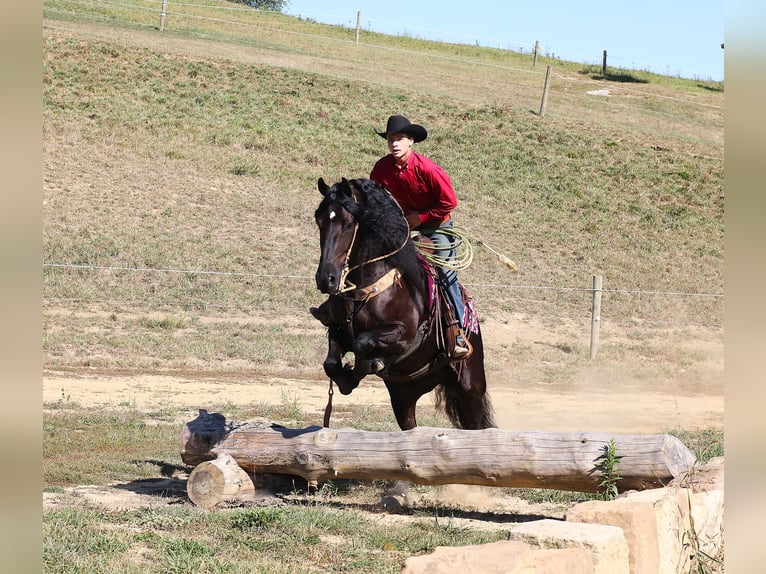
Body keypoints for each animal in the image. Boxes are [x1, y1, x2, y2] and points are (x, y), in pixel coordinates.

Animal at [314, 177, 498, 432]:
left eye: (349, 223)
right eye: (319, 219)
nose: (326, 279)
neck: (366, 288)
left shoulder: (405, 336)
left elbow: (362, 342)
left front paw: (362, 369)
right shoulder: (338, 328)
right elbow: (331, 363)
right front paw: (347, 377)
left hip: (470, 387)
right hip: (404, 397)